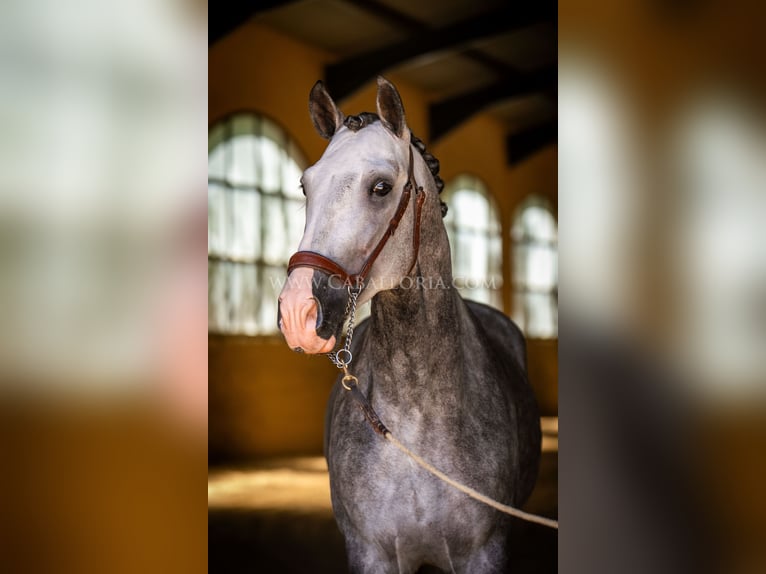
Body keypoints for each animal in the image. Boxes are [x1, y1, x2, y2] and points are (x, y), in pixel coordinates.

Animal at [280, 77, 544, 574]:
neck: (416, 418)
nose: (296, 313)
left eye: (381, 187)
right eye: (306, 186)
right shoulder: (371, 553)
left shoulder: (485, 552)